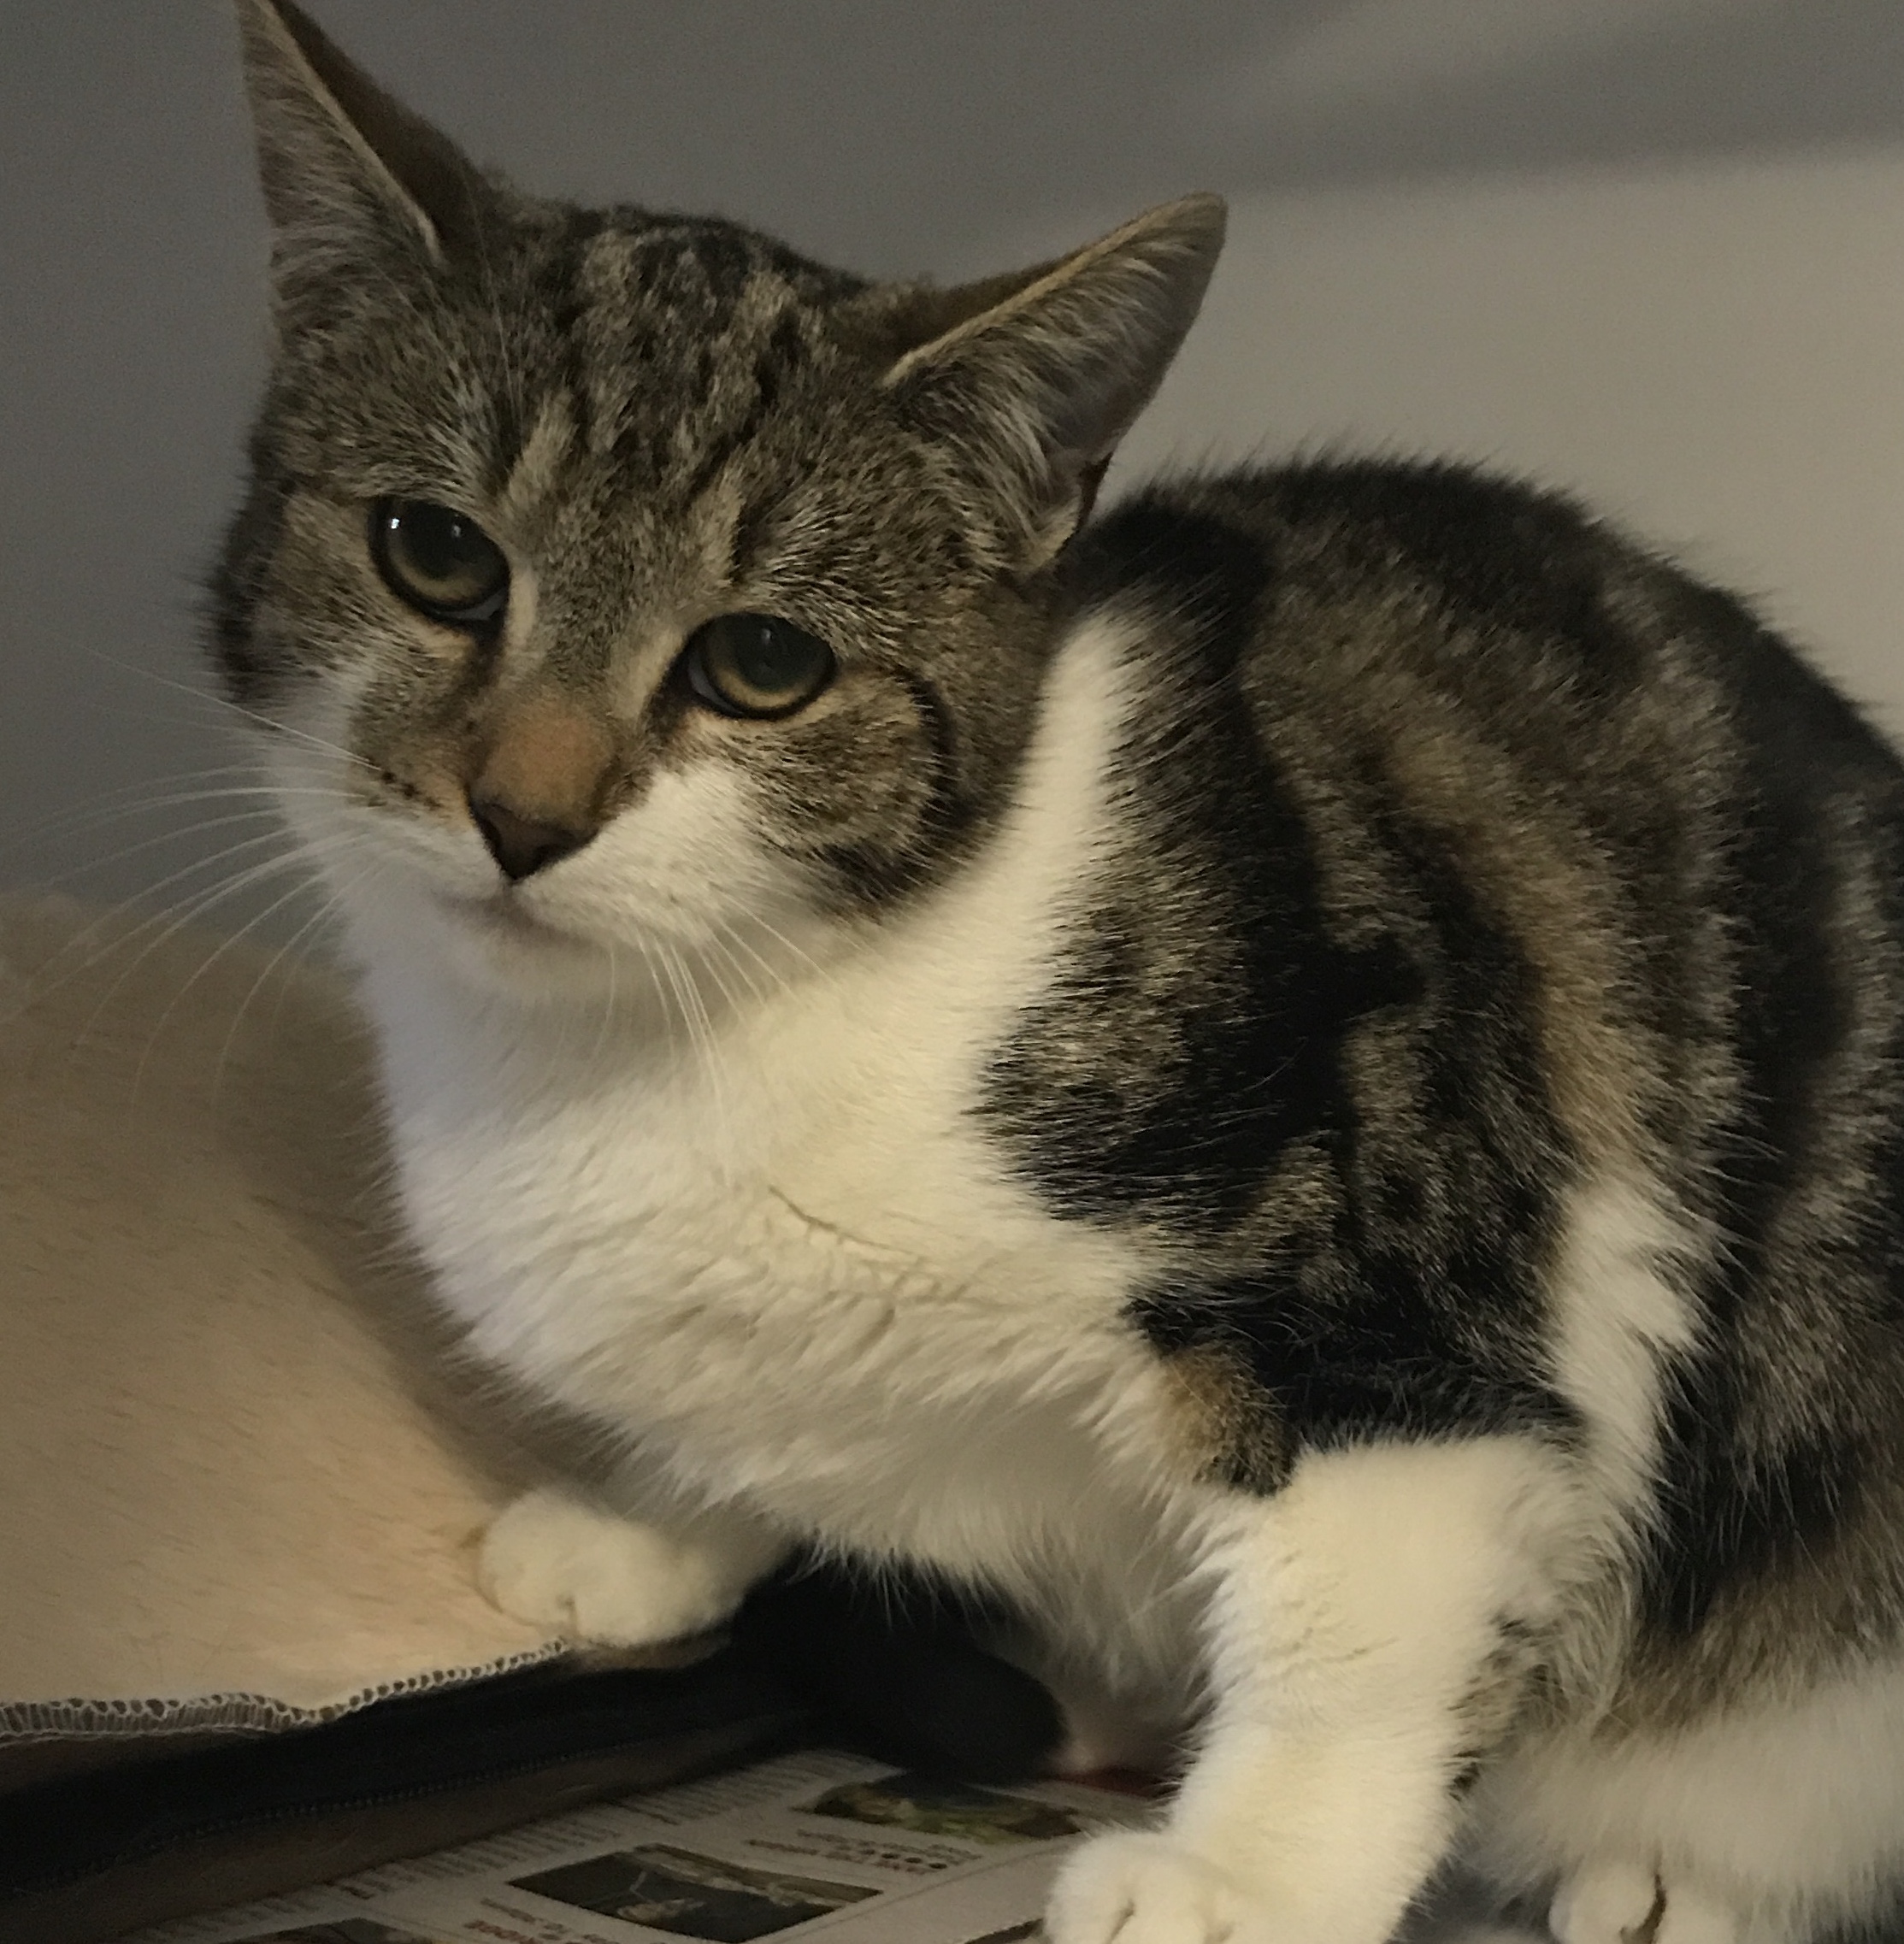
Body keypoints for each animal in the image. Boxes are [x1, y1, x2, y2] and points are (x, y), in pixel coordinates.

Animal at [220, 4, 1904, 1942]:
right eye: (435, 552)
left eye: (762, 663)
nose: (525, 812)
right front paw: (639, 1523)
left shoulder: (1407, 1278)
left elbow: (1356, 1619)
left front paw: (1244, 1878)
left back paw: (1668, 1875)